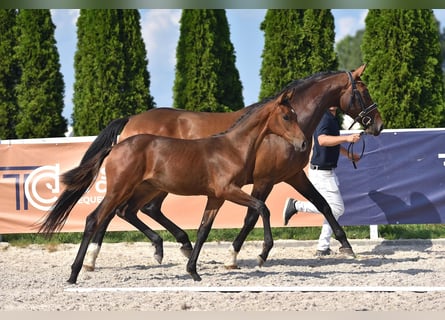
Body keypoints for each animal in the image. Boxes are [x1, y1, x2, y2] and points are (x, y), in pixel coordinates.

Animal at [40, 92, 306, 282]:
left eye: (295, 115)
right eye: (286, 117)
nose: (303, 143)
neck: (232, 148)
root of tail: (116, 147)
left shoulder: (215, 197)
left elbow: (203, 230)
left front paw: (193, 271)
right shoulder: (228, 190)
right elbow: (262, 208)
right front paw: (263, 253)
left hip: (144, 189)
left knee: (128, 211)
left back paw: (159, 248)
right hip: (120, 188)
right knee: (95, 219)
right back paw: (74, 273)